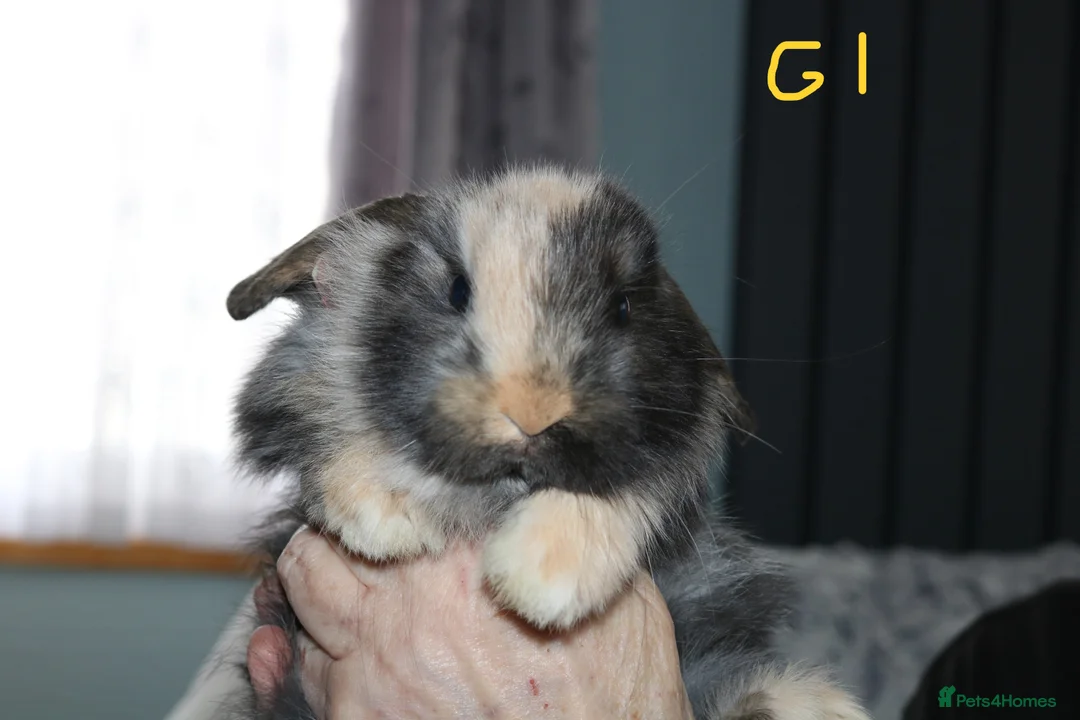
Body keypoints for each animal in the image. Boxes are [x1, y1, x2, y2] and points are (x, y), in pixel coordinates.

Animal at [218, 164, 871, 720]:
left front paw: (542, 577)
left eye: (623, 306)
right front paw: (382, 517)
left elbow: (629, 486)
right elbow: (327, 416)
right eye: (457, 290)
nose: (532, 412)